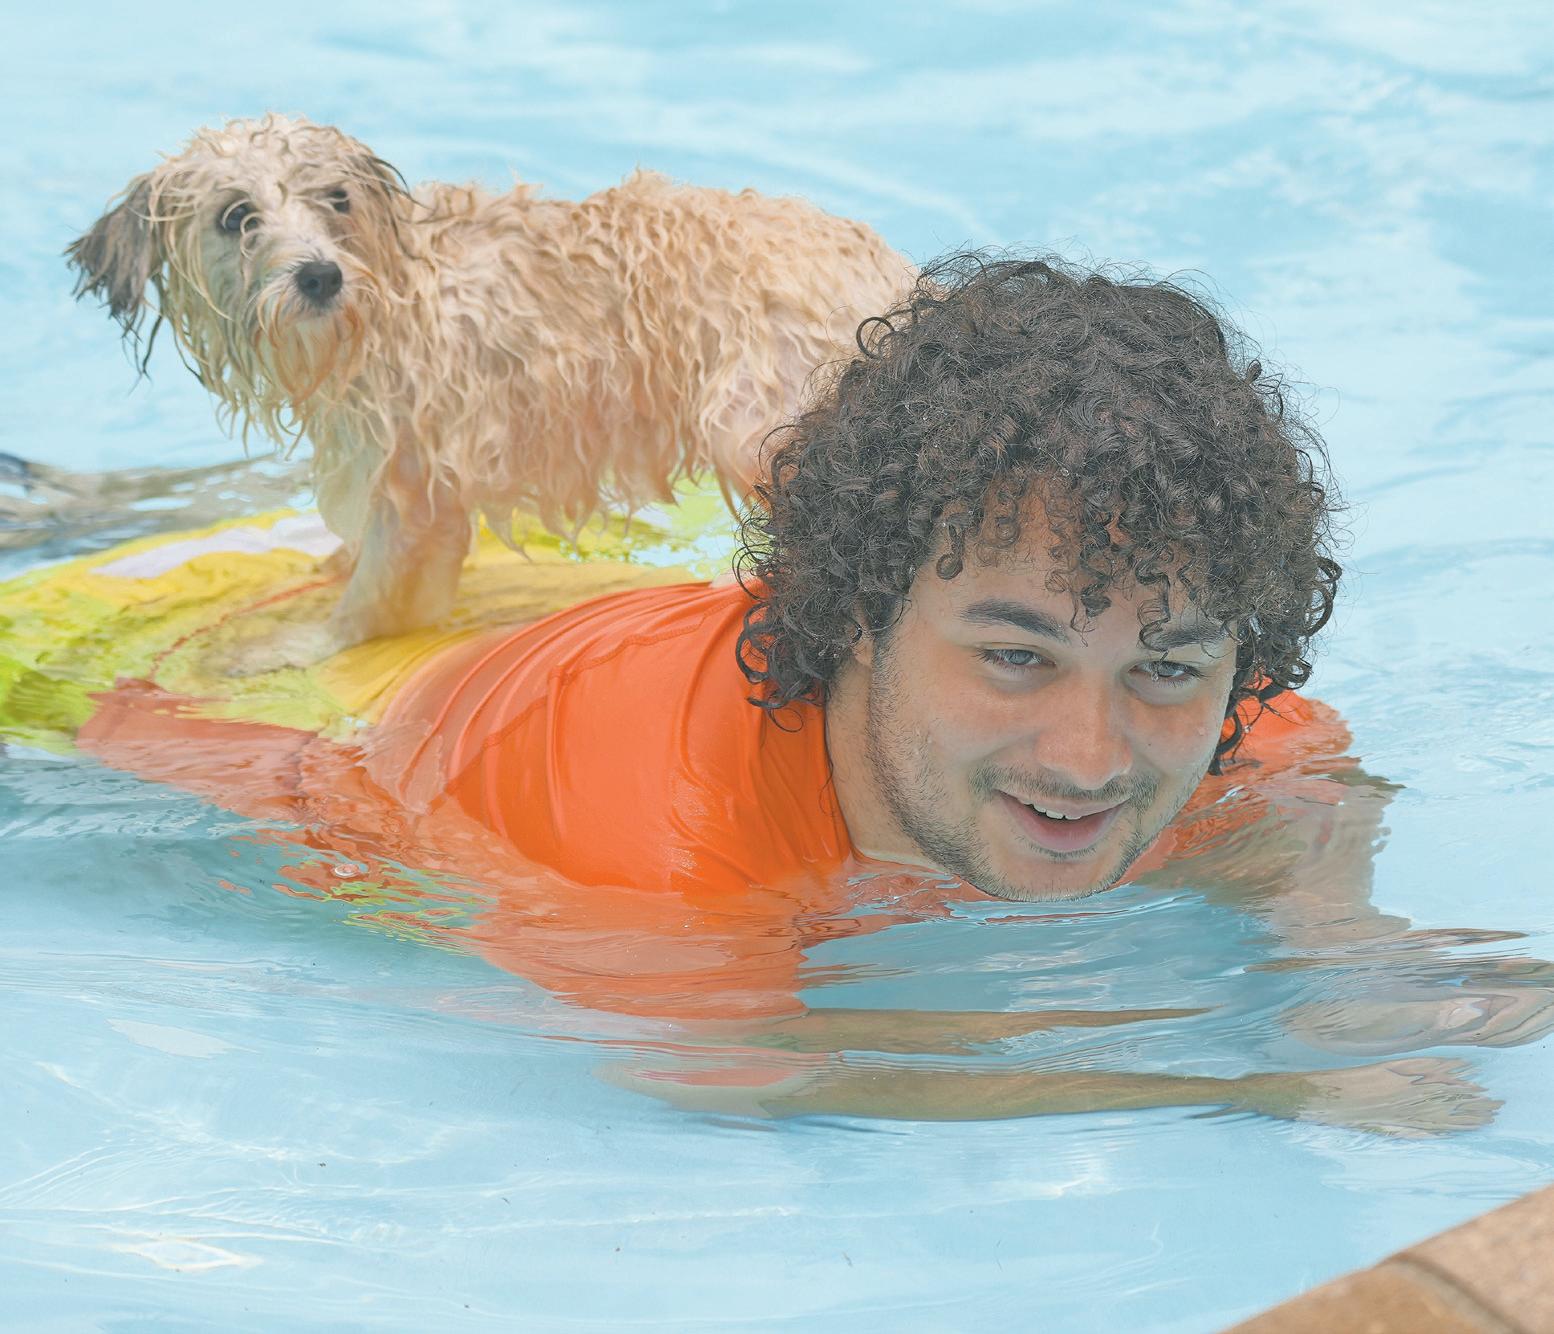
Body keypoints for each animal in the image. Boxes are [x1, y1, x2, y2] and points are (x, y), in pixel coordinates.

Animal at [67, 114, 913, 668]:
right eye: (235, 216)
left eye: (336, 198)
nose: (320, 275)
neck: (388, 292)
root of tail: (895, 276)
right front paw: (325, 568)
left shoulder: (417, 490)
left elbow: (376, 602)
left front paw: (301, 644)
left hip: (757, 420)